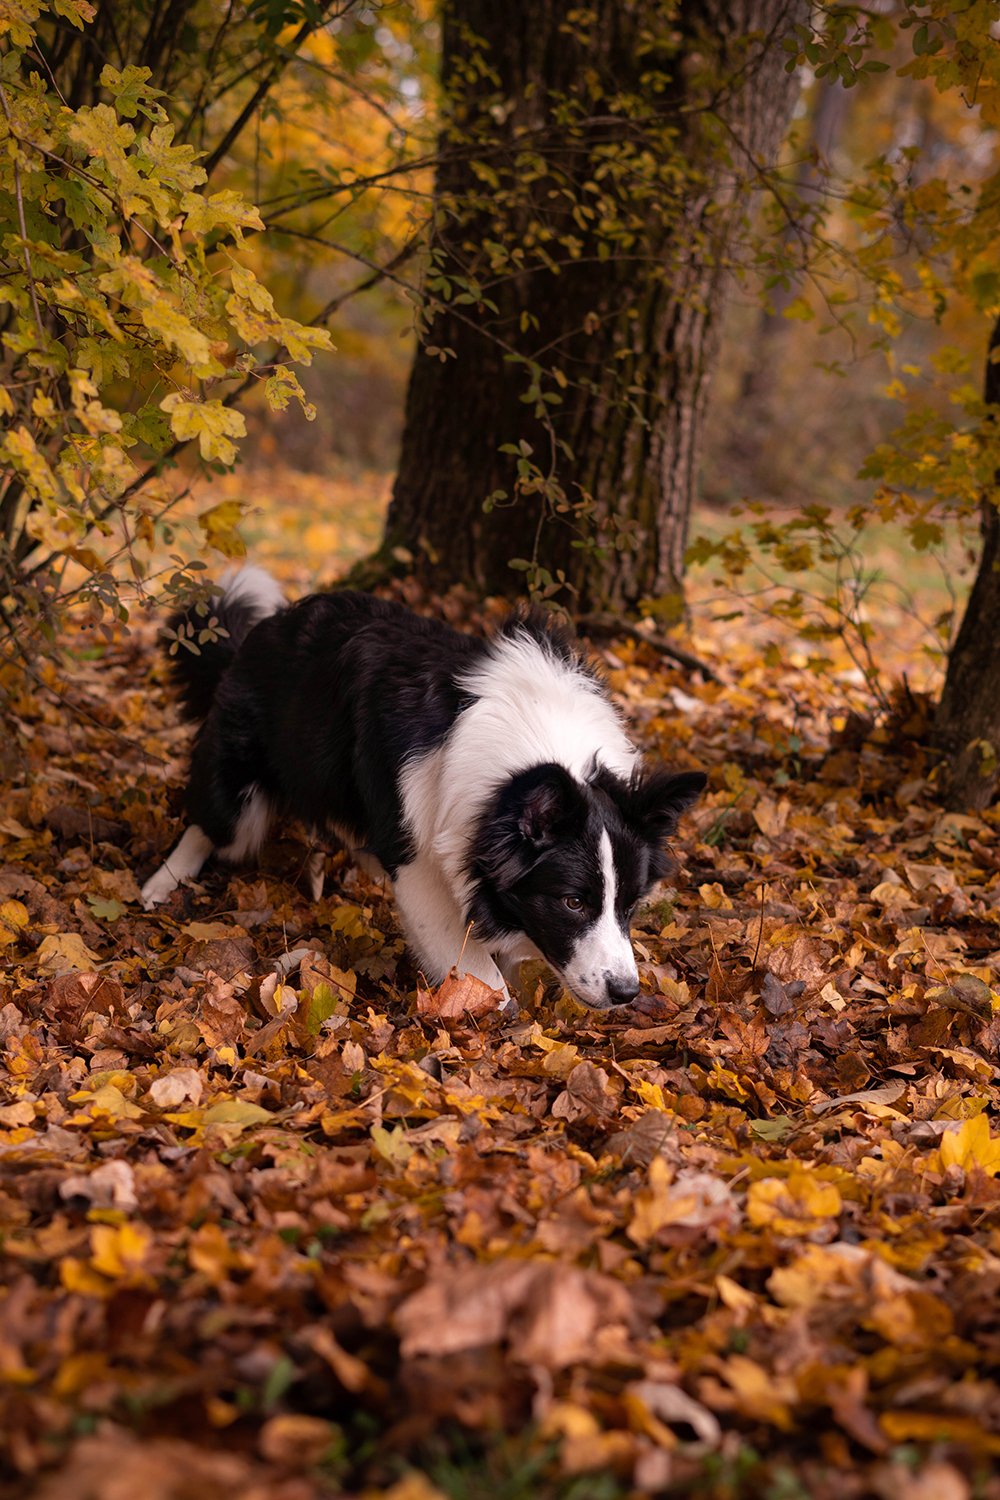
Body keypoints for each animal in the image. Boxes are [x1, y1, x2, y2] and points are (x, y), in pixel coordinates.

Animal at [140, 570, 707, 1008]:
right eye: (572, 902)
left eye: (630, 905)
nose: (626, 993)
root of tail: (262, 628)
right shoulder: (421, 865)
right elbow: (486, 980)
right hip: (242, 788)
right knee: (213, 821)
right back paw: (163, 881)